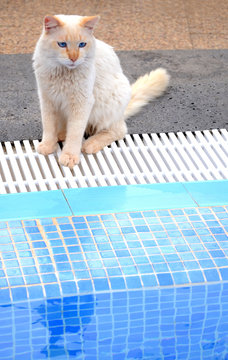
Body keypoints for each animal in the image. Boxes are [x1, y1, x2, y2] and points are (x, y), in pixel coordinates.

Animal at [33, 14, 170, 169]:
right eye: (62, 44)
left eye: (82, 44)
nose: (74, 58)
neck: (62, 72)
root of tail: (121, 114)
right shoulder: (47, 99)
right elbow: (49, 127)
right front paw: (48, 146)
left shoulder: (82, 103)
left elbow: (75, 133)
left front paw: (69, 156)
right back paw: (62, 134)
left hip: (108, 102)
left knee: (118, 130)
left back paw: (89, 144)